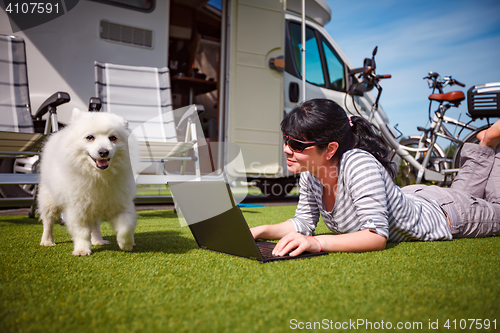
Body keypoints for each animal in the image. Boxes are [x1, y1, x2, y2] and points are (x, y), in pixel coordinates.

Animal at [39, 107, 137, 255]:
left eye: (113, 138)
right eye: (90, 138)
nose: (103, 151)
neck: (99, 176)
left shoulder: (121, 204)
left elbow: (126, 226)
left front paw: (126, 244)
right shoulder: (78, 209)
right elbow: (82, 232)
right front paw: (82, 250)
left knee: (95, 225)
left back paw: (98, 240)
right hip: (49, 201)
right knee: (48, 222)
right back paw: (47, 241)